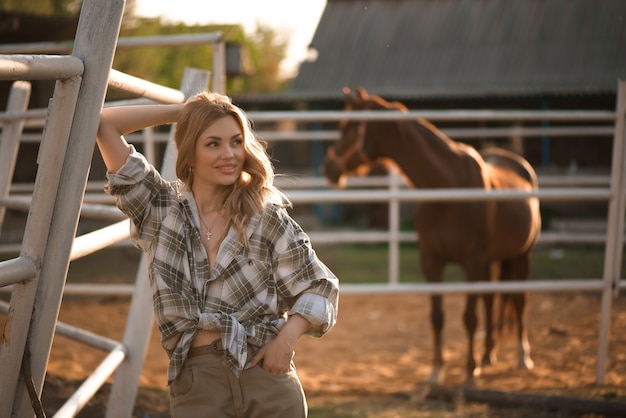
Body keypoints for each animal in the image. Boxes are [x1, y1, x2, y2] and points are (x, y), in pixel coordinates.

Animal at [324, 87, 540, 386]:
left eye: (349, 127)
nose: (329, 168)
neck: (447, 190)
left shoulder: (472, 262)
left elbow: (469, 317)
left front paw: (470, 372)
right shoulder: (432, 261)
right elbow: (437, 317)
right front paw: (437, 371)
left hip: (522, 255)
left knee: (519, 302)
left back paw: (522, 357)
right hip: (493, 261)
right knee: (490, 300)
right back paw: (488, 355)